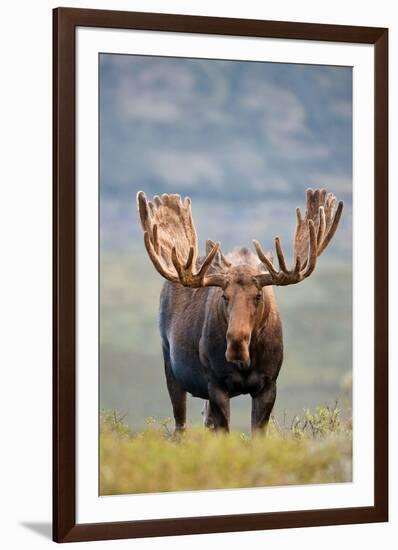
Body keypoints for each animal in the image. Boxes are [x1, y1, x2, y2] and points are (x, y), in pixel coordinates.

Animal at [136, 190, 342, 436]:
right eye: (224, 296)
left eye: (258, 295)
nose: (236, 344)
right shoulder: (216, 383)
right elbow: (224, 432)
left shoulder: (268, 384)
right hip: (170, 363)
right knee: (181, 424)